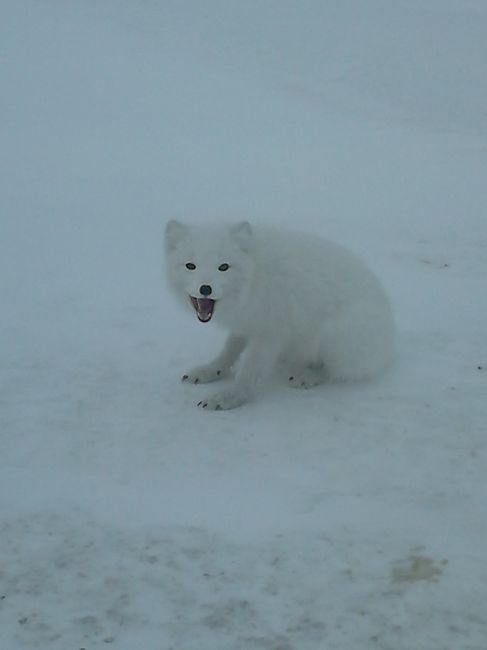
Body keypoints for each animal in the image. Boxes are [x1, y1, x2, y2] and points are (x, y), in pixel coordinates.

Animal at [166, 220, 394, 408]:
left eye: (223, 267)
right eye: (190, 265)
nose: (205, 288)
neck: (254, 277)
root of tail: (390, 342)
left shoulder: (271, 330)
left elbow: (249, 369)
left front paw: (230, 397)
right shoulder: (246, 322)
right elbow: (228, 351)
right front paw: (211, 371)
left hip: (340, 334)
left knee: (337, 370)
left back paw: (308, 375)